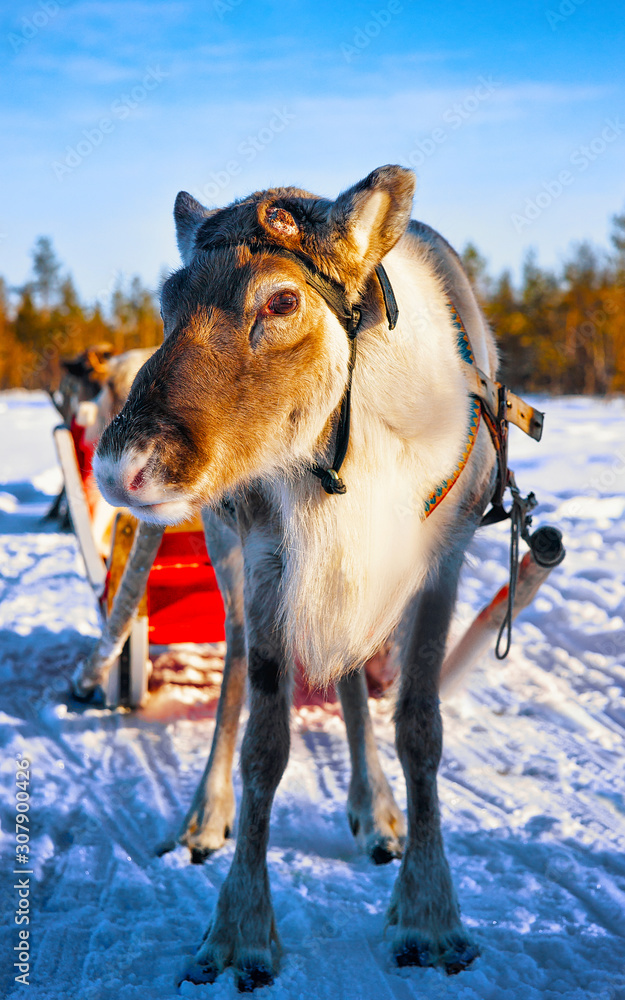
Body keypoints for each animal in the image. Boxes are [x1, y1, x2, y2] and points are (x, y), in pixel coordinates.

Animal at [92, 165, 499, 990]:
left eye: (281, 301)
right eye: (166, 300)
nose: (120, 469)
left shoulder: (439, 558)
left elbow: (418, 727)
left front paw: (429, 914)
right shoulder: (271, 561)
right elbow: (264, 744)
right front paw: (240, 930)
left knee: (348, 681)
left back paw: (375, 810)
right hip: (230, 552)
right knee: (234, 668)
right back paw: (205, 814)